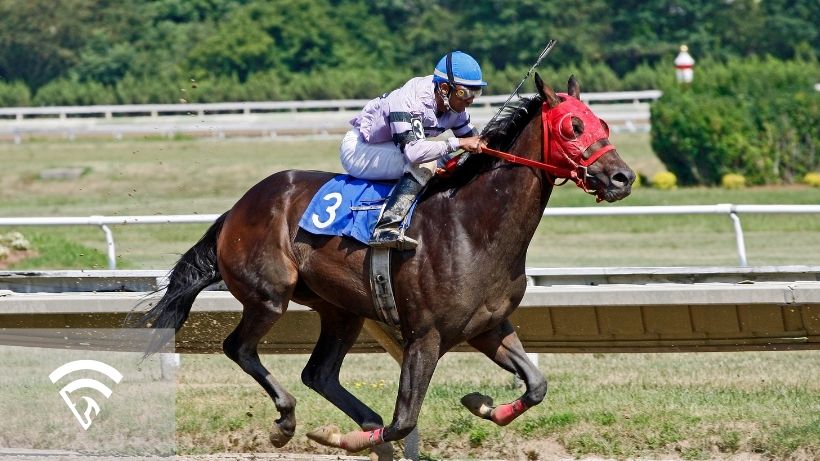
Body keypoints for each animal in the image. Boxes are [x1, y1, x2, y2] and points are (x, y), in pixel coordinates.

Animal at [133, 73, 635, 456]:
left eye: (602, 122)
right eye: (573, 126)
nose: (622, 177)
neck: (473, 226)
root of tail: (237, 208)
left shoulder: (488, 326)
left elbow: (536, 385)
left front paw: (482, 403)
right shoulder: (425, 336)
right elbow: (404, 421)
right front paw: (342, 438)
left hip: (341, 310)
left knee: (318, 372)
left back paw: (352, 416)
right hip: (269, 296)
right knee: (240, 348)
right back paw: (289, 421)